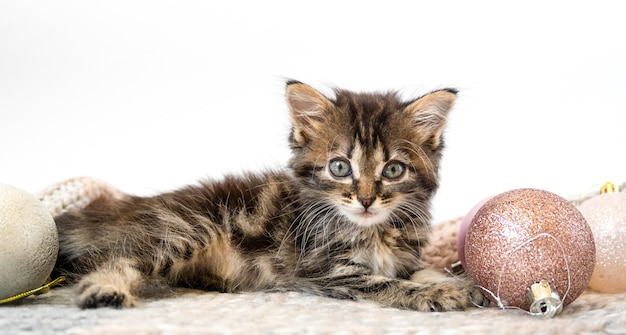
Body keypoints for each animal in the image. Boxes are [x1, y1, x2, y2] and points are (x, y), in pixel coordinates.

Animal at [53, 81, 486, 312]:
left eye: (393, 170)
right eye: (339, 167)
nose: (365, 200)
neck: (375, 230)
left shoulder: (404, 258)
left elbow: (419, 270)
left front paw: (462, 285)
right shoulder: (326, 270)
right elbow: (386, 284)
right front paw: (441, 293)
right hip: (185, 230)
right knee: (112, 258)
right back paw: (104, 289)